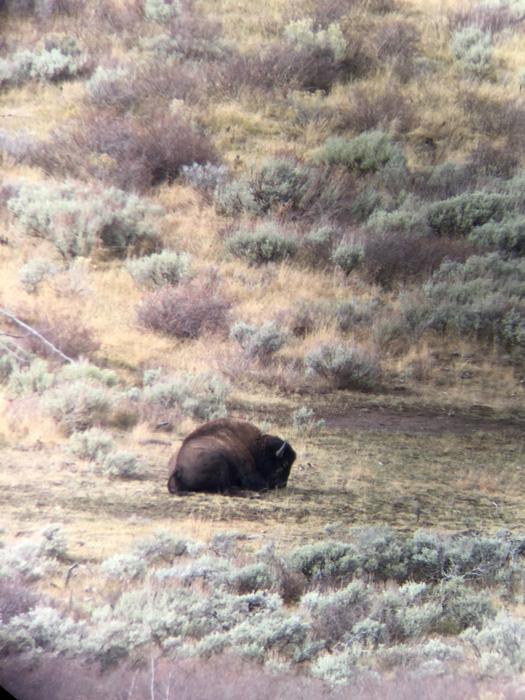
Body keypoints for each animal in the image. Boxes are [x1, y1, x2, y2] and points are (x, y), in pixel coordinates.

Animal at [167, 418, 296, 494]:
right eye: (283, 464)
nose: (282, 485)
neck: (257, 446)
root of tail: (178, 467)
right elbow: (263, 485)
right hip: (220, 464)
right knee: (226, 490)